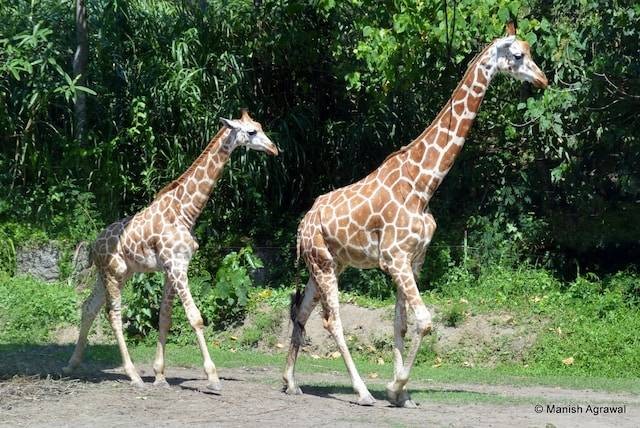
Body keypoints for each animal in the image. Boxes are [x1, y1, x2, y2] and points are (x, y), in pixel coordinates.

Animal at [63, 108, 280, 390]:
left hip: (111, 274)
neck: (186, 211)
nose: (274, 149)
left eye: (260, 126)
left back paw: (72, 364)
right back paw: (133, 375)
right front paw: (212, 377)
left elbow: (164, 318)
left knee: (89, 307)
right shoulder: (177, 266)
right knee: (114, 314)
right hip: (114, 273)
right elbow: (195, 317)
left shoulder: (171, 268)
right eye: (252, 132)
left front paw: (160, 375)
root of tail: (93, 247)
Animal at [284, 24, 544, 408]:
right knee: (333, 322)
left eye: (530, 51)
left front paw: (403, 395)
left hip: (329, 264)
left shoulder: (412, 259)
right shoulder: (395, 258)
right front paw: (394, 387)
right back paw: (362, 392)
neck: (424, 184)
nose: (542, 79)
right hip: (324, 264)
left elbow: (401, 324)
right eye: (517, 55)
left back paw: (289, 381)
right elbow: (423, 319)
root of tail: (303, 224)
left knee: (302, 312)